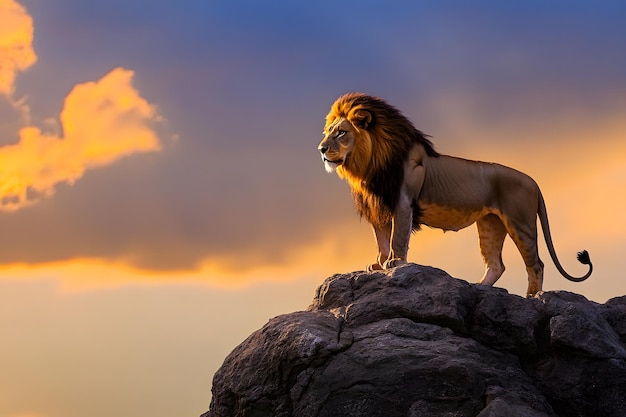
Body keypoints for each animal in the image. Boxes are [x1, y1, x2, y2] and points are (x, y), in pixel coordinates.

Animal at [316, 93, 588, 296]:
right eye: (328, 132)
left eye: (341, 132)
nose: (321, 149)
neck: (369, 164)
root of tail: (534, 181)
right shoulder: (377, 206)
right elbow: (381, 239)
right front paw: (378, 264)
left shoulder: (402, 201)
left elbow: (397, 237)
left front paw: (395, 262)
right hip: (490, 224)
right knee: (496, 265)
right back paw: (479, 288)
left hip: (520, 222)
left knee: (536, 263)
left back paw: (533, 296)